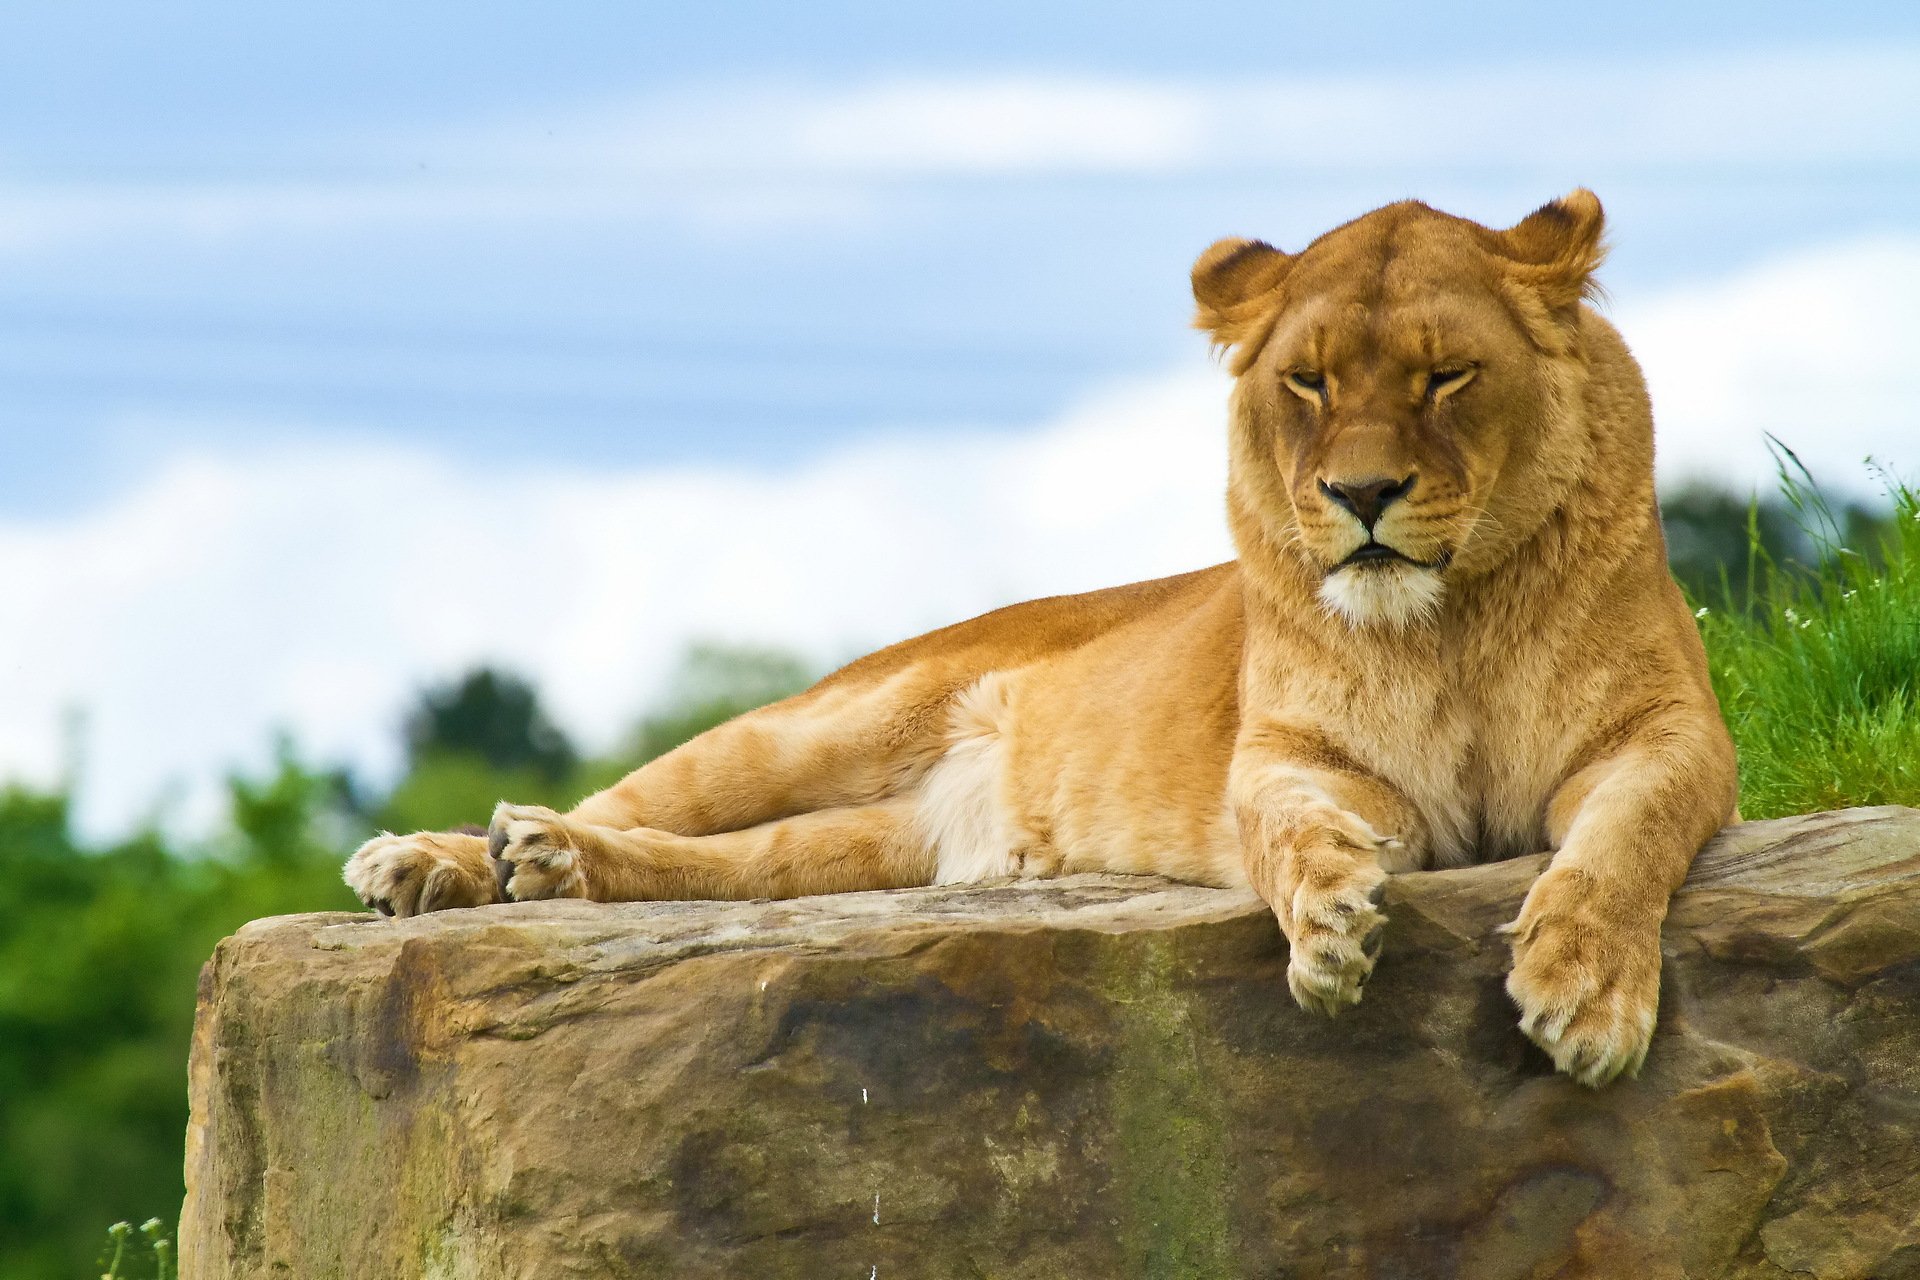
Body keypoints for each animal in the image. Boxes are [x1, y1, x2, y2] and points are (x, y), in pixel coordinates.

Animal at [346, 189, 1738, 1087]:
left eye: (1448, 377)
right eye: (1310, 383)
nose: (1362, 494)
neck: (1447, 626)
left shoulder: (1674, 735)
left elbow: (1622, 842)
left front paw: (1586, 992)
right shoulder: (1289, 758)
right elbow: (1287, 829)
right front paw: (1333, 921)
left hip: (878, 850)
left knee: (719, 868)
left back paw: (544, 867)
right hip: (824, 721)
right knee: (640, 797)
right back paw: (445, 859)